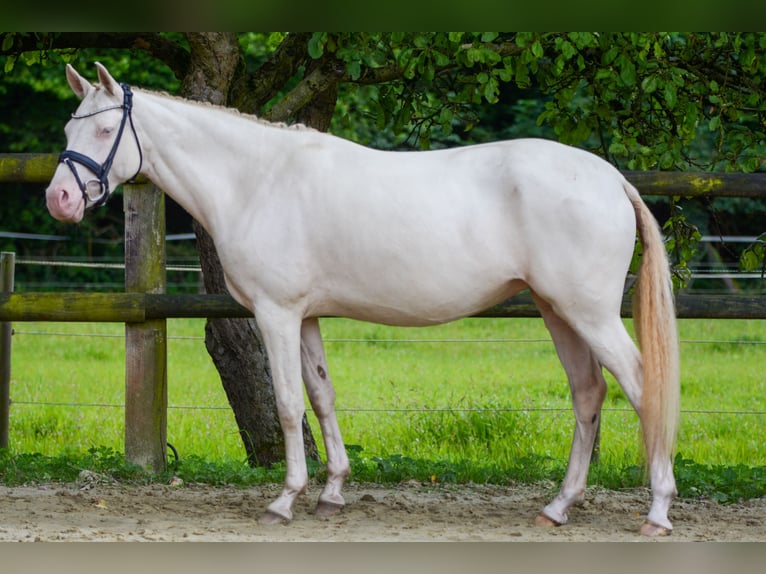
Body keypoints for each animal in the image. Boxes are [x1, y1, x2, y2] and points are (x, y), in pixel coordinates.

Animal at [45, 62, 680, 536]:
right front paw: (332, 493)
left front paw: (285, 500)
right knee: (588, 393)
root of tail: (611, 178)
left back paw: (657, 511)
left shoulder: (276, 314)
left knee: (641, 386)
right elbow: (322, 397)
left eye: (102, 132)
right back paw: (558, 507)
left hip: (588, 313)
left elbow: (287, 403)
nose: (59, 200)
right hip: (557, 313)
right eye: (68, 130)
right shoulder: (305, 318)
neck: (257, 180)